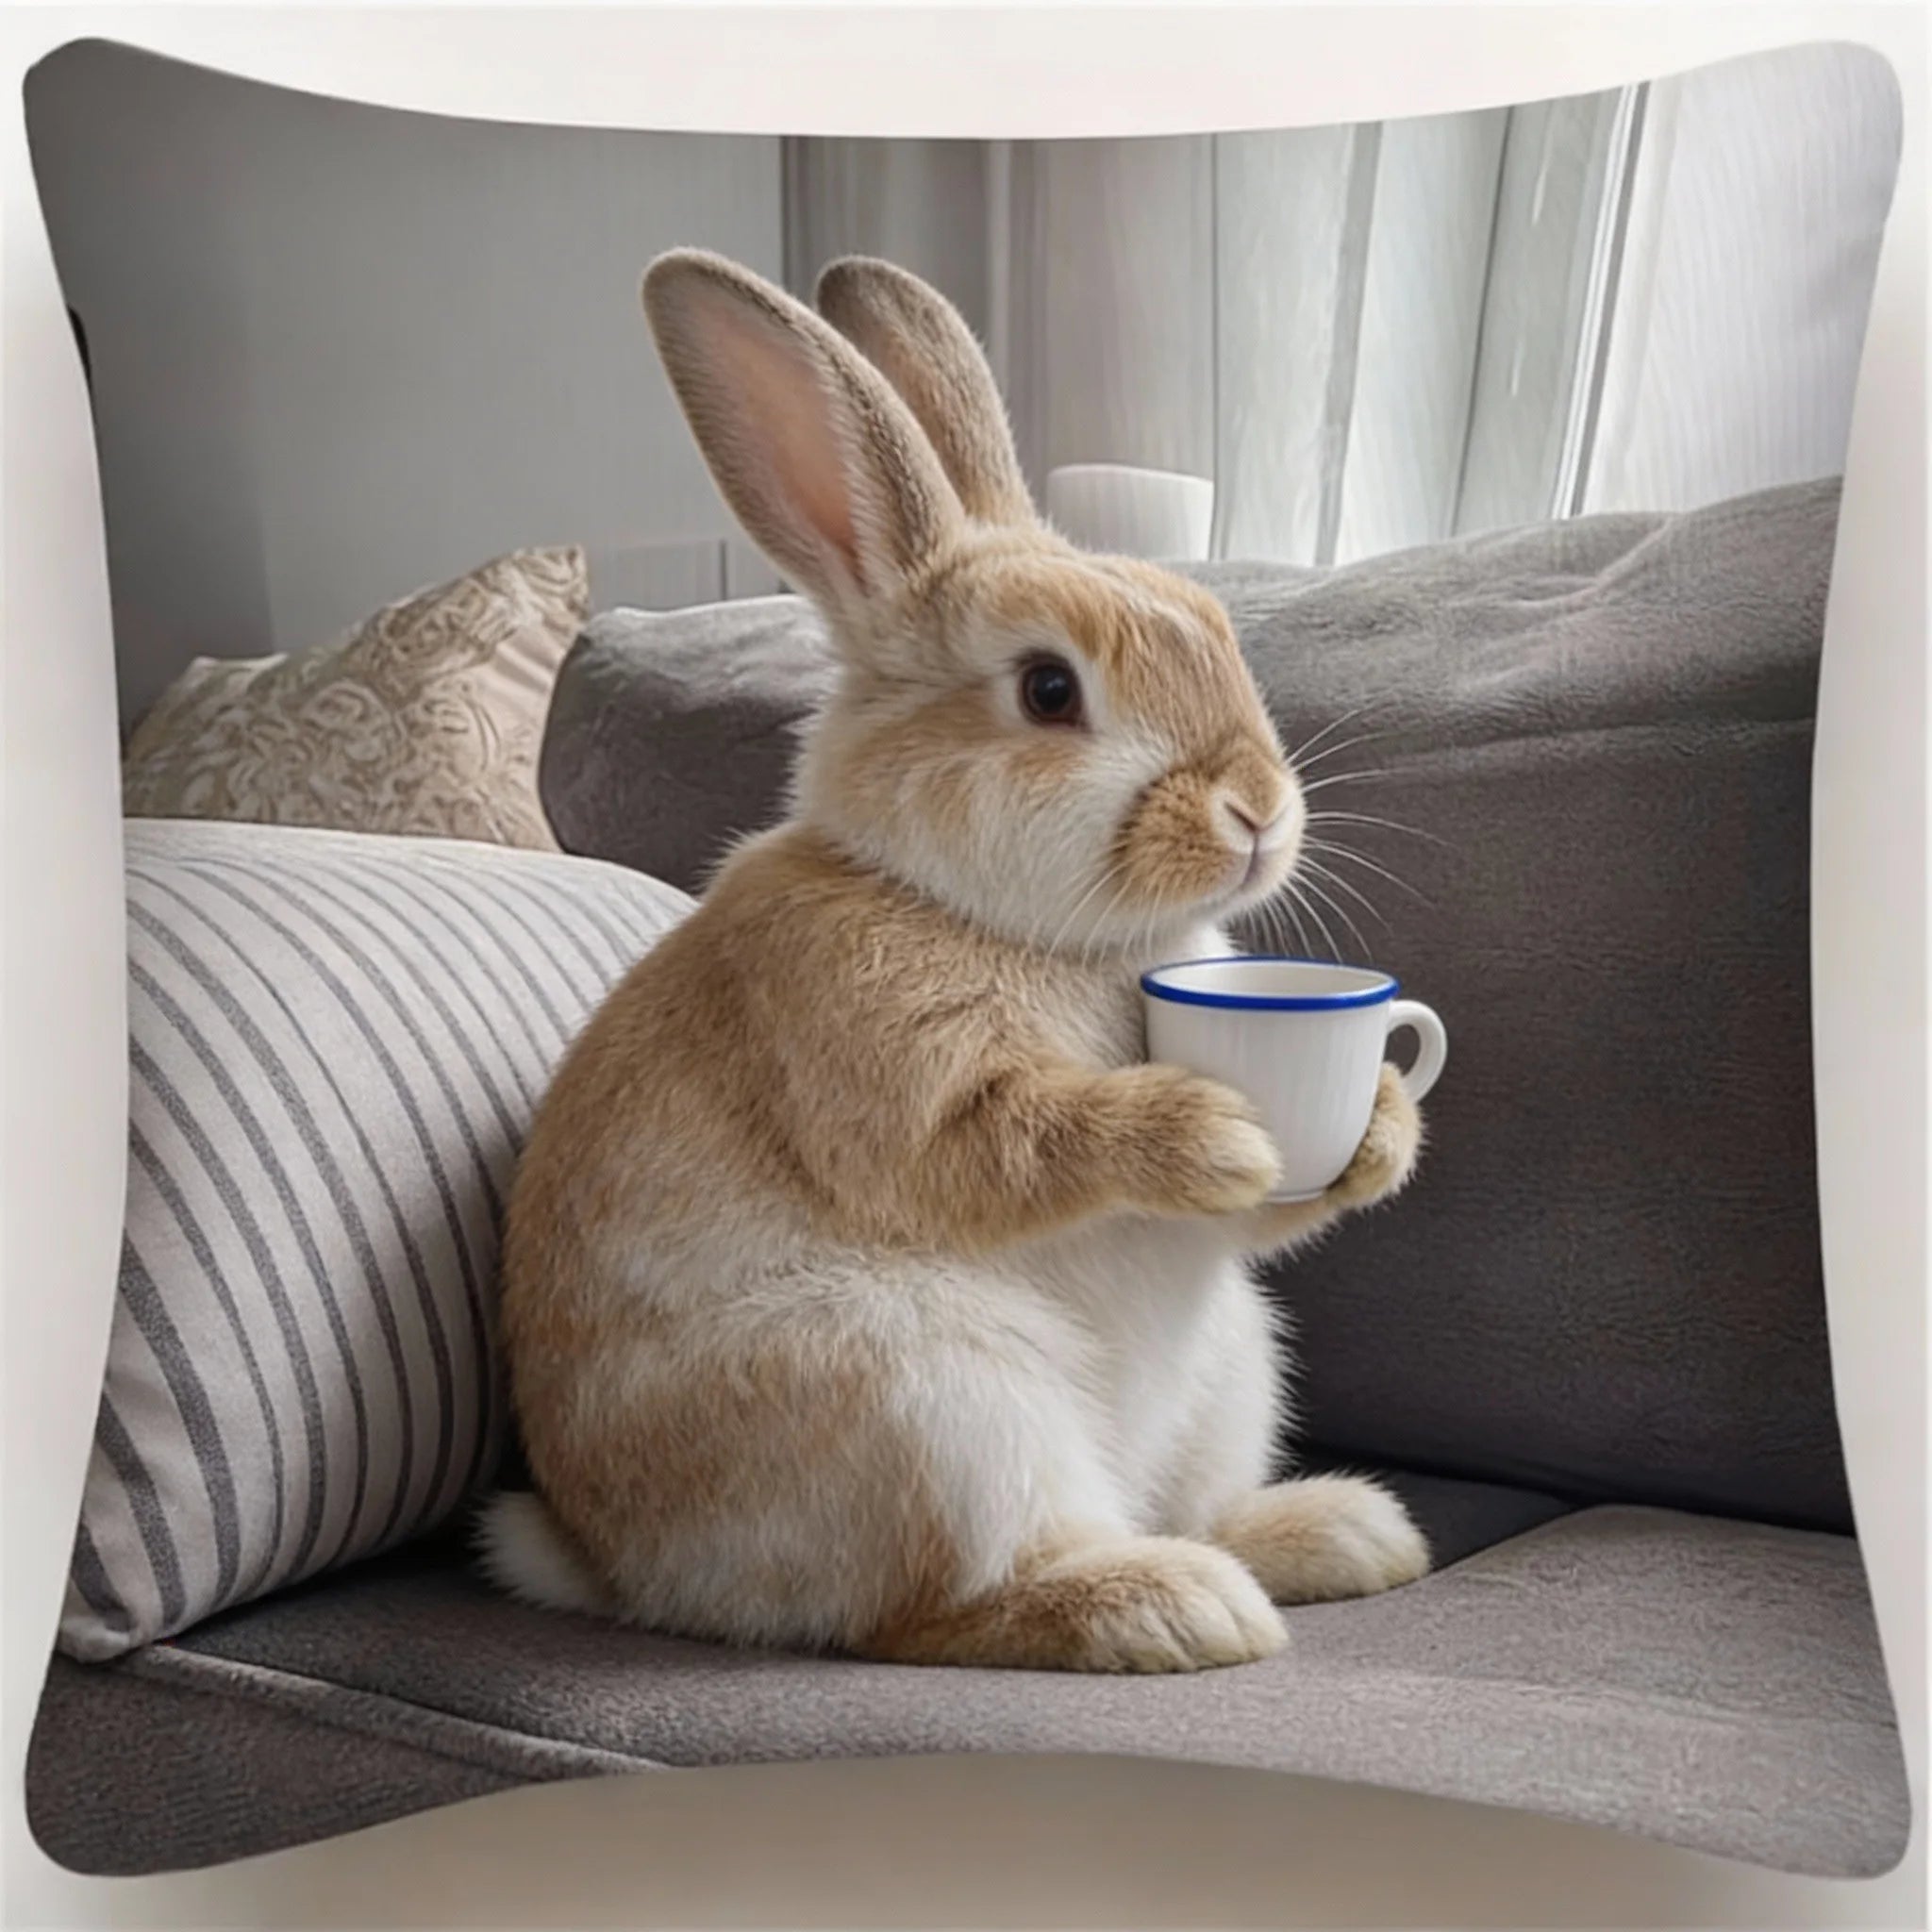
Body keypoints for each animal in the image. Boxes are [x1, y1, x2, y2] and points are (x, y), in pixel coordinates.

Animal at [476, 248, 1430, 1673]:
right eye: (1046, 689)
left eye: (1212, 624)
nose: (1258, 810)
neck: (989, 914)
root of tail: (620, 1570)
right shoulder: (881, 1062)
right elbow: (1007, 1141)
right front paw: (1211, 1132)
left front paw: (1377, 1125)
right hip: (927, 1400)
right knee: (935, 1609)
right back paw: (1167, 1607)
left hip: (1230, 1368)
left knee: (1184, 1505)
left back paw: (1337, 1536)